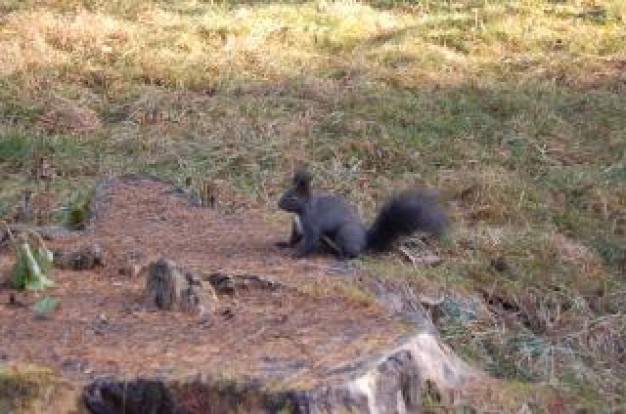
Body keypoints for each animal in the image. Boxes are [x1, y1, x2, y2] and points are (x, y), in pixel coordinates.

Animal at [276, 170, 446, 258]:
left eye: (293, 197)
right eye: (285, 191)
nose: (278, 203)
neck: (300, 211)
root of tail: (366, 239)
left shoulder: (312, 222)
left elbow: (310, 241)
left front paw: (296, 254)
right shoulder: (297, 225)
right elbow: (294, 238)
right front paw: (284, 244)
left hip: (345, 234)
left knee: (355, 253)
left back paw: (342, 256)